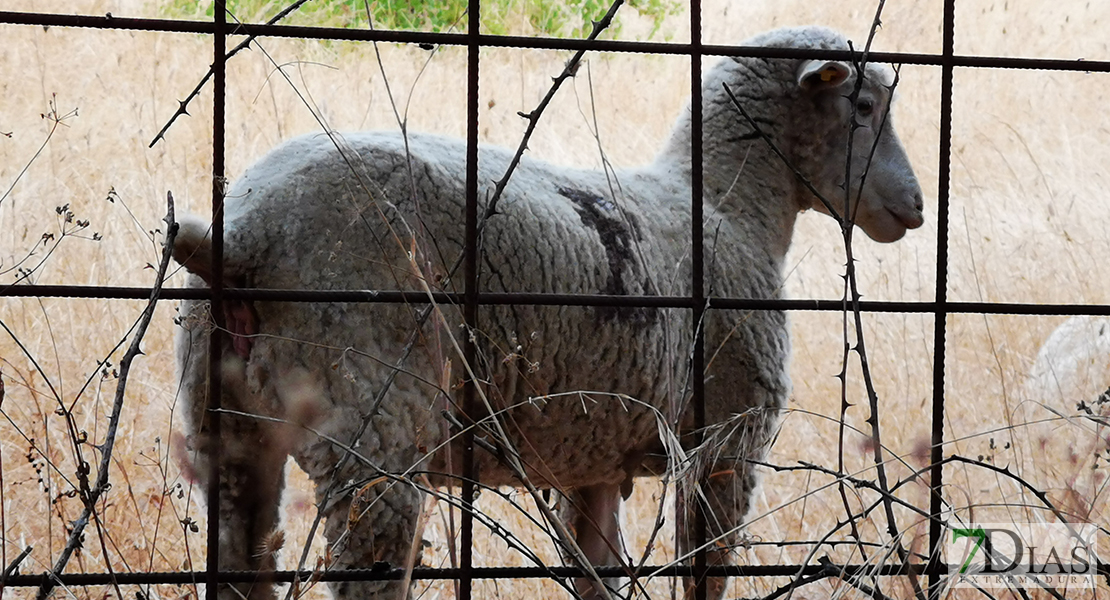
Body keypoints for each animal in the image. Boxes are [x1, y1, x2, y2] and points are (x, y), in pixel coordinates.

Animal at [170, 24, 919, 598]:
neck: (727, 206)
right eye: (863, 104)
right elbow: (704, 569)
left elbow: (597, 569)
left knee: (239, 555)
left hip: (226, 422)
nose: (913, 207)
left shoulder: (597, 453)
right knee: (368, 563)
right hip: (372, 412)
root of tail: (245, 235)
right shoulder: (728, 438)